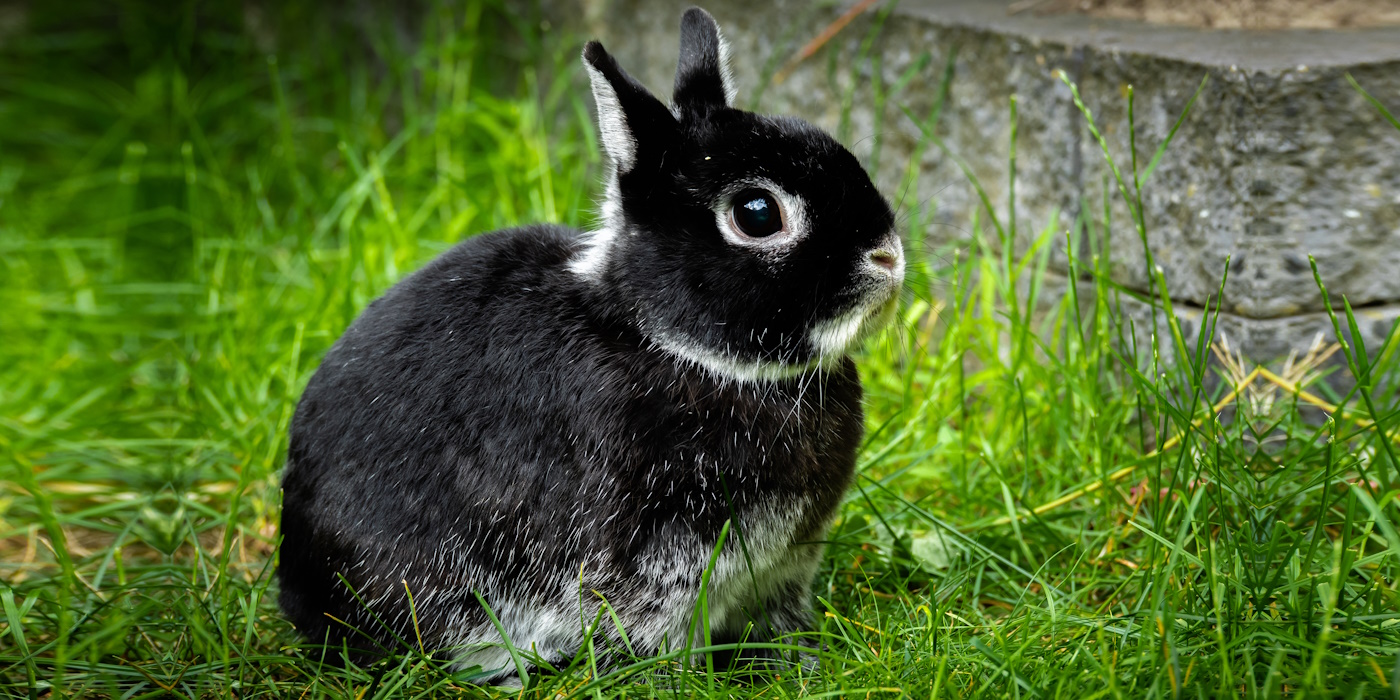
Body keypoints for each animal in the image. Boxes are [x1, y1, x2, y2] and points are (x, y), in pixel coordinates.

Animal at [278, 5, 901, 680]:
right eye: (757, 213)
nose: (888, 257)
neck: (671, 345)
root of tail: (297, 580)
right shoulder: (658, 572)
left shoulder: (782, 568)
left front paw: (801, 659)